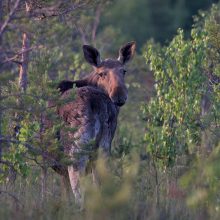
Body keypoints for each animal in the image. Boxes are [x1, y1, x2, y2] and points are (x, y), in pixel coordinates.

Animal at [54, 41, 136, 206]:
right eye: (101, 73)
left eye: (123, 71)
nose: (119, 95)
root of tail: (97, 104)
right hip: (103, 150)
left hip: (76, 152)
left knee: (79, 195)